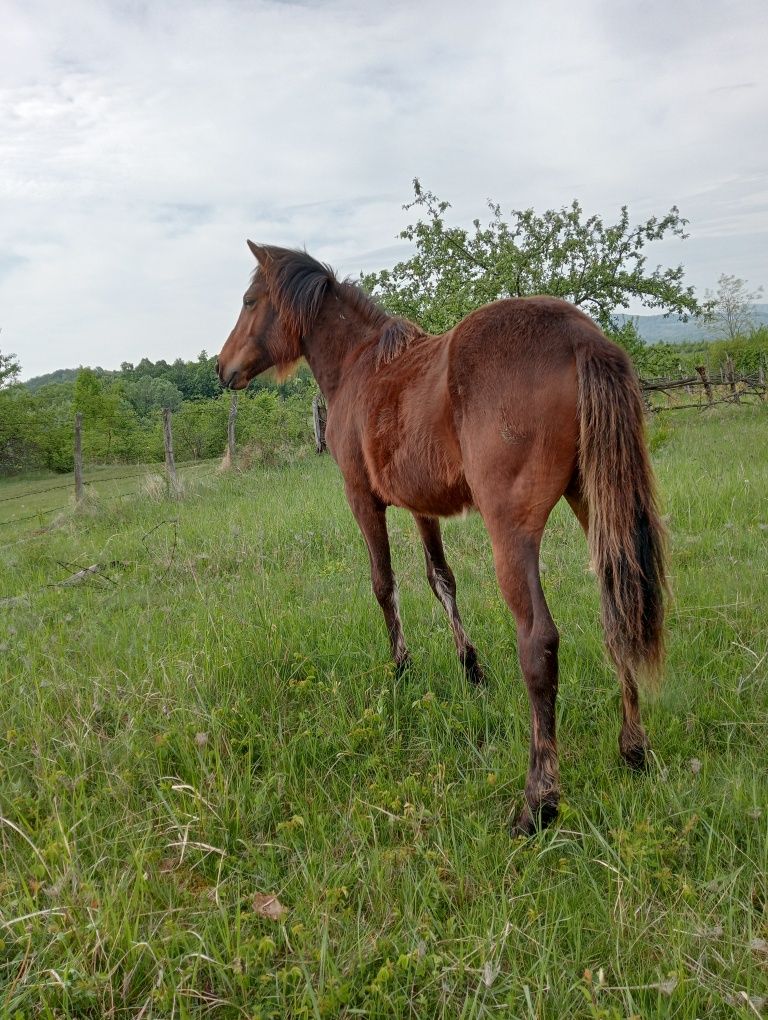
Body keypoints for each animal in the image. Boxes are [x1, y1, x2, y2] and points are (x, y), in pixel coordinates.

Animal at [216, 240, 664, 836]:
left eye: (249, 300)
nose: (221, 368)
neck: (360, 365)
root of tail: (578, 336)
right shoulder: (420, 507)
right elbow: (440, 579)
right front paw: (470, 668)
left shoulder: (363, 499)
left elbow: (383, 584)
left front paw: (402, 668)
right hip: (595, 505)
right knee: (618, 611)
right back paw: (632, 749)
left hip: (512, 532)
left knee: (539, 642)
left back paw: (538, 801)